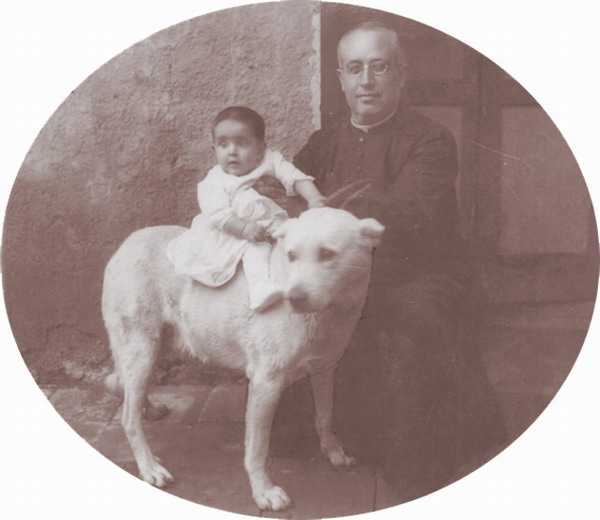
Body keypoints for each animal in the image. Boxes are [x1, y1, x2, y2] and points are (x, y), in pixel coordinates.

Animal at [102, 206, 384, 511]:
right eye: (291, 255)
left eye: (327, 253)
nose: (293, 298)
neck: (327, 315)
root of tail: (126, 243)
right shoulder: (265, 384)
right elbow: (257, 448)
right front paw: (264, 492)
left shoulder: (324, 370)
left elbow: (325, 416)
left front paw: (335, 454)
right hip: (142, 349)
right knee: (128, 418)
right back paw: (150, 467)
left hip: (154, 349)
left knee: (127, 389)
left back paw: (148, 411)